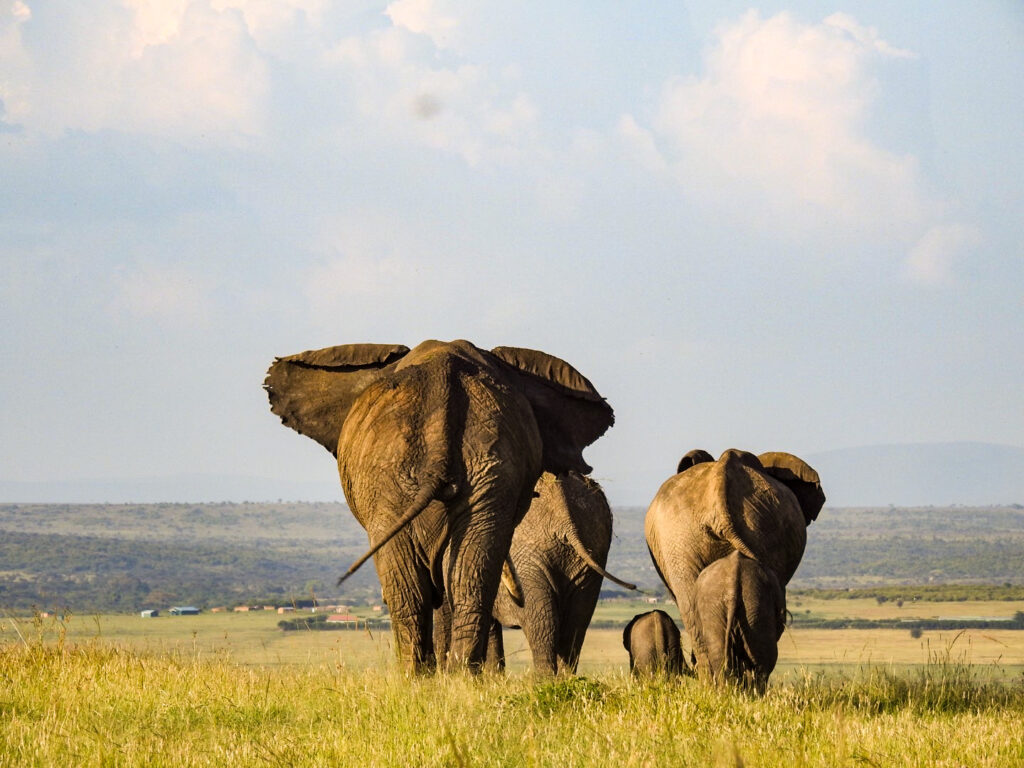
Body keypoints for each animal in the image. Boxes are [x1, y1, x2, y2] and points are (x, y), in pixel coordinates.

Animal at [268, 339, 610, 671]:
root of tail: (443, 378)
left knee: (428, 591)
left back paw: (426, 678)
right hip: (468, 477)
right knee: (465, 586)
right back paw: (458, 678)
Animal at [692, 548, 786, 696]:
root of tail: (733, 581)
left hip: (737, 605)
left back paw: (730, 694)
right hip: (752, 603)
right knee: (763, 660)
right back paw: (752, 695)